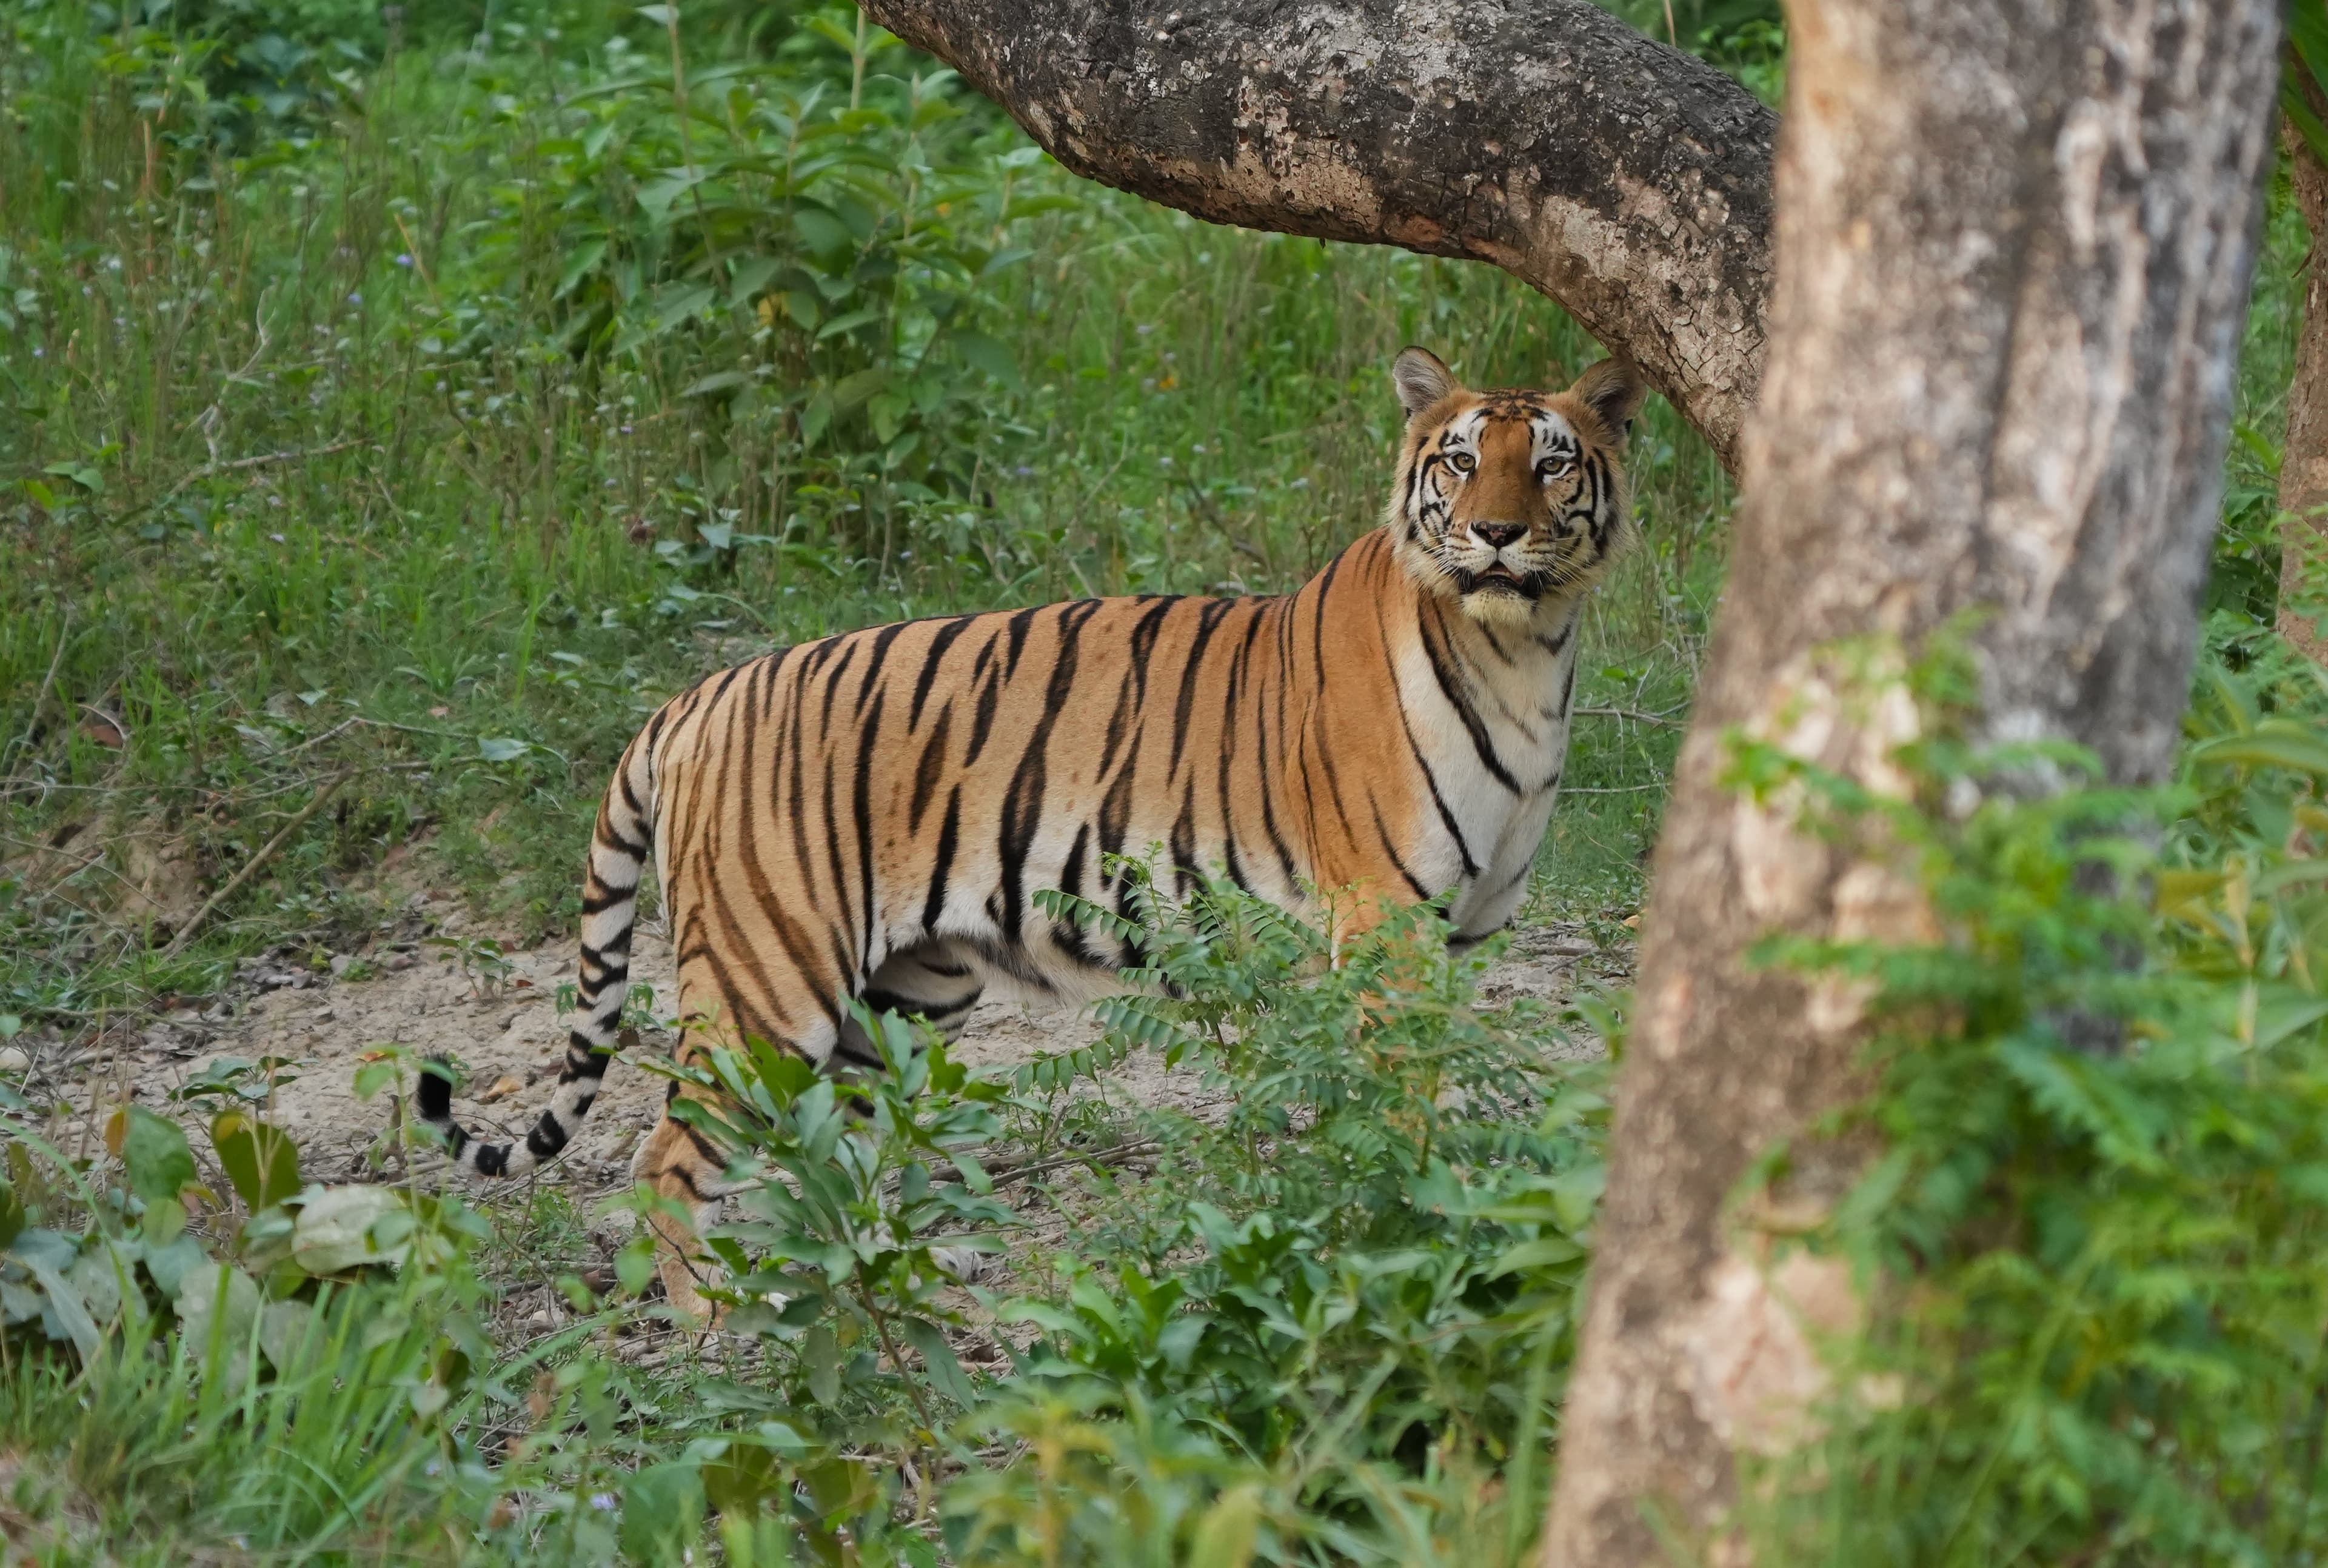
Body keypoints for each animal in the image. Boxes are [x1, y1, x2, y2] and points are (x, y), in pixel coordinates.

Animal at [414, 346, 1647, 1320]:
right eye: (1459, 462)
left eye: (1550, 462)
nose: (1496, 532)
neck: (1526, 646)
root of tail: (694, 696)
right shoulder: (1387, 920)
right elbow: (1398, 1100)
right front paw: (1411, 1228)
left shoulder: (1466, 932)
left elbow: (1446, 1083)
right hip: (770, 979)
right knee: (668, 1153)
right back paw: (715, 1318)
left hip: (904, 997)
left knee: (834, 1147)